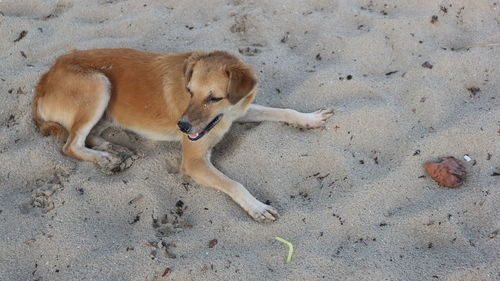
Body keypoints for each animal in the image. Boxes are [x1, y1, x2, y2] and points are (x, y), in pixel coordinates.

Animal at [33, 49, 334, 222]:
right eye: (189, 91)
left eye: (214, 98)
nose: (183, 127)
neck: (221, 117)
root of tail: (46, 76)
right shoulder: (194, 161)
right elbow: (234, 184)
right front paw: (257, 206)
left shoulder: (237, 112)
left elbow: (283, 110)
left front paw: (309, 118)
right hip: (99, 84)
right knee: (70, 145)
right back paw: (106, 158)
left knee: (87, 137)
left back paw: (114, 150)